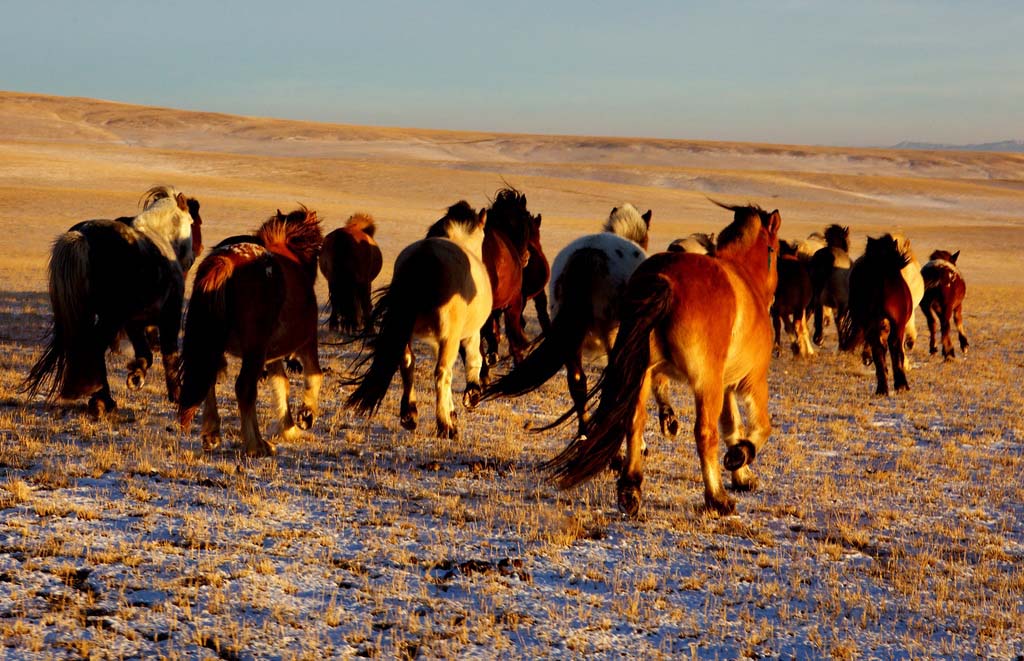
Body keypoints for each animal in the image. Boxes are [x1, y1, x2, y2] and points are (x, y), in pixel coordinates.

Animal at [22, 184, 195, 417]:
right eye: (192, 222)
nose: (192, 259)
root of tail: (82, 235)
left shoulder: (134, 321)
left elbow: (145, 353)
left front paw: (136, 376)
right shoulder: (169, 314)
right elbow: (170, 355)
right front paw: (176, 395)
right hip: (110, 318)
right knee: (94, 347)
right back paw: (102, 400)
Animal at [178, 205, 323, 456]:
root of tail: (226, 262)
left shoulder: (271, 354)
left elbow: (281, 384)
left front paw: (288, 427)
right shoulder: (305, 341)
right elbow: (314, 375)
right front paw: (305, 415)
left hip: (218, 344)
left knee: (210, 378)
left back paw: (212, 434)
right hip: (255, 349)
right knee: (245, 388)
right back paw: (257, 445)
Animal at [346, 201, 493, 439]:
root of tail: (425, 257)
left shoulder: (435, 340)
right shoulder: (469, 334)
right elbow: (474, 360)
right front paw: (470, 397)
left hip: (404, 331)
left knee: (407, 361)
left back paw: (410, 414)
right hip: (449, 338)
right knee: (441, 373)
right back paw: (445, 426)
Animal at [544, 201, 774, 517]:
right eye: (774, 251)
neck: (744, 278)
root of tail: (665, 281)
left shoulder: (725, 384)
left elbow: (733, 426)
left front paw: (742, 475)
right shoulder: (750, 380)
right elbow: (759, 427)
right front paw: (739, 458)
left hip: (632, 367)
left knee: (628, 417)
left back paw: (629, 487)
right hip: (702, 382)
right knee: (704, 433)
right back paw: (717, 498)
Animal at [839, 234, 913, 397]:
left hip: (874, 323)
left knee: (880, 348)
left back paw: (883, 388)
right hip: (894, 325)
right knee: (890, 346)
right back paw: (899, 385)